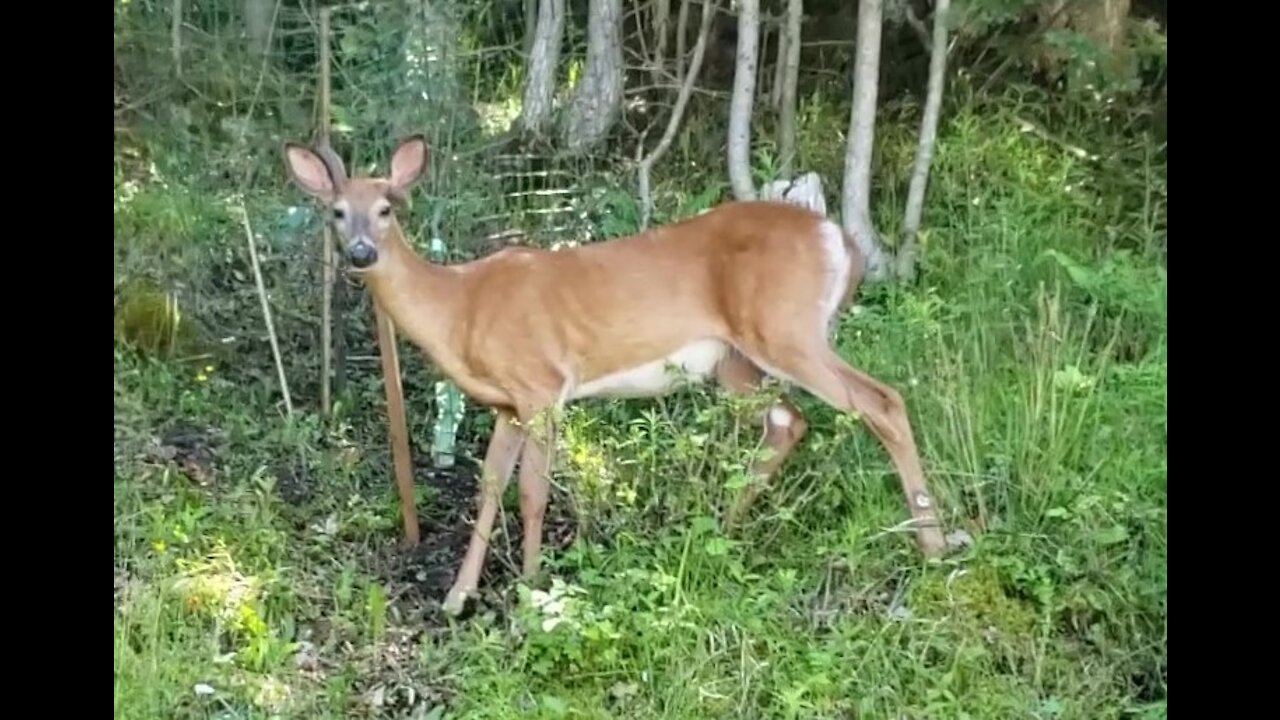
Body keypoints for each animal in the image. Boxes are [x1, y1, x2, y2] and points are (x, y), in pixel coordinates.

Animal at [282, 133, 952, 609]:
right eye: (336, 212)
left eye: (386, 209)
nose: (361, 254)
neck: (461, 308)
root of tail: (843, 242)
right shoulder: (506, 405)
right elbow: (489, 489)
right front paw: (457, 597)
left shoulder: (542, 385)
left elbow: (532, 493)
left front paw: (529, 591)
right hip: (738, 362)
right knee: (789, 421)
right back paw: (723, 528)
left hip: (787, 330)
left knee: (881, 401)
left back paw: (934, 544)